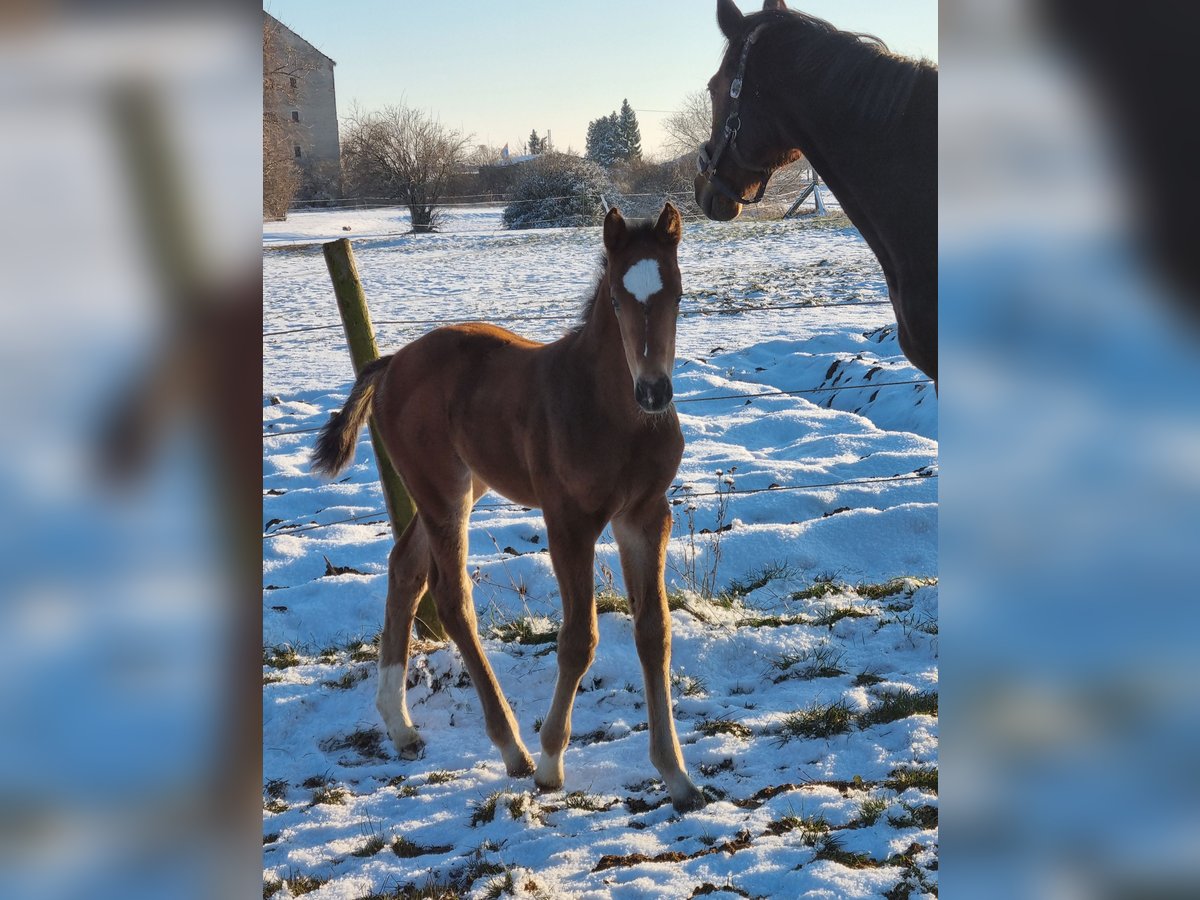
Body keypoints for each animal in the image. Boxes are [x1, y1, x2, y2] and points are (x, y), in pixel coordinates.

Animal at [309, 204, 705, 816]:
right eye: (617, 300)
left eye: (679, 294)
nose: (654, 392)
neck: (613, 413)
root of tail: (392, 363)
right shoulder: (568, 521)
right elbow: (579, 639)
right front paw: (550, 763)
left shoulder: (644, 515)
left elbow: (654, 633)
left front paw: (677, 776)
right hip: (443, 494)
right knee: (451, 601)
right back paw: (513, 748)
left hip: (459, 488)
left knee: (404, 569)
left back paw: (400, 727)